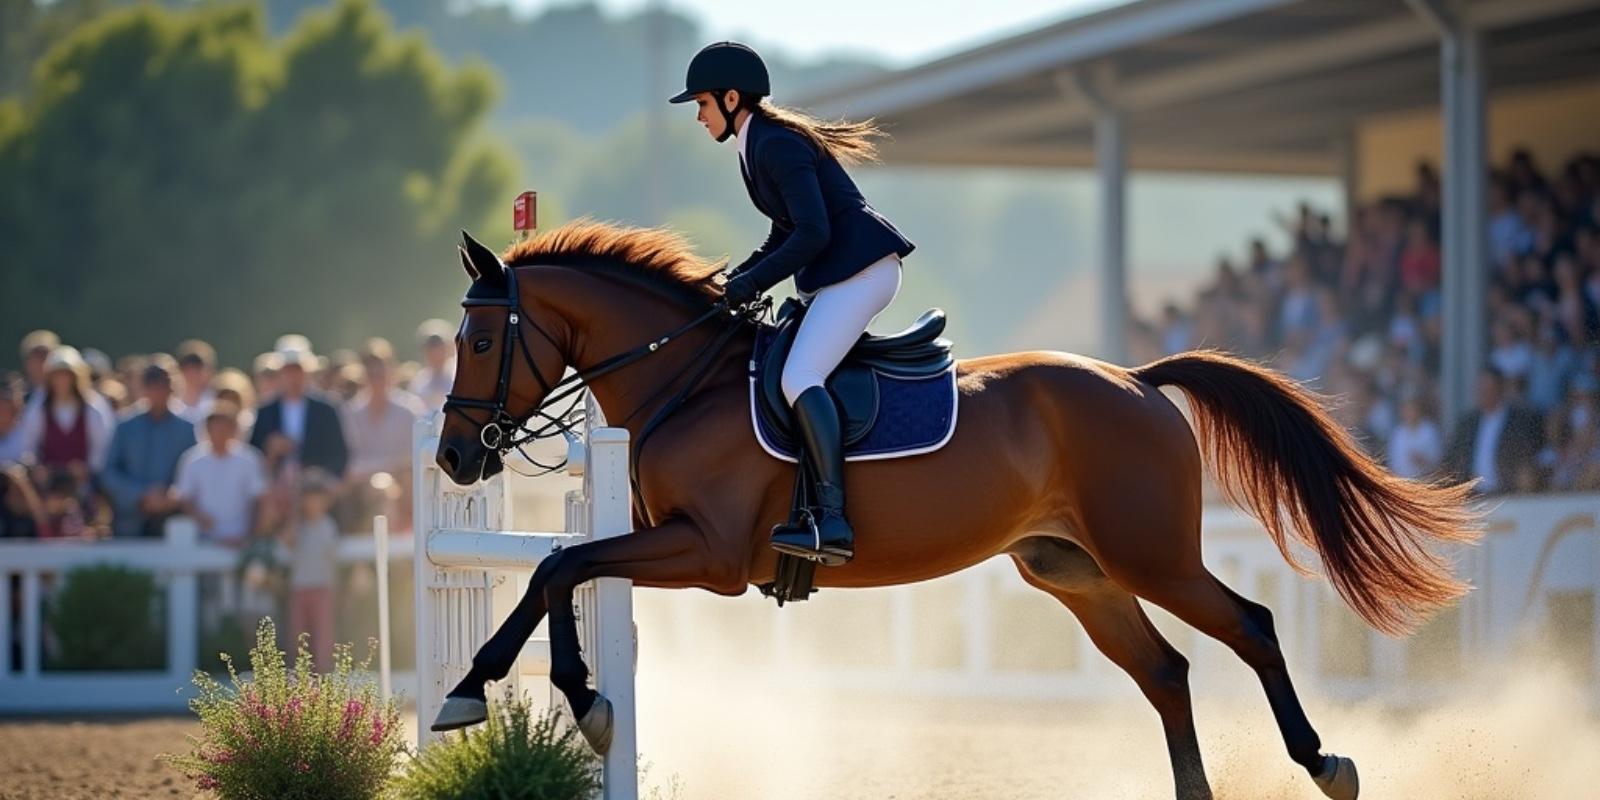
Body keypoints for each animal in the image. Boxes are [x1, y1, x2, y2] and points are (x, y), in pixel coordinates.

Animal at [430, 220, 1479, 800]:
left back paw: (1326, 764)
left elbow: (560, 564)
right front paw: (509, 690)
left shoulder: (709, 554)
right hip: (1072, 572)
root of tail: (1138, 381)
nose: (451, 456)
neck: (683, 379)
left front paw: (549, 697)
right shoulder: (671, 545)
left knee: (1251, 626)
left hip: (1150, 556)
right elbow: (554, 570)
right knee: (1166, 670)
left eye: (480, 341)